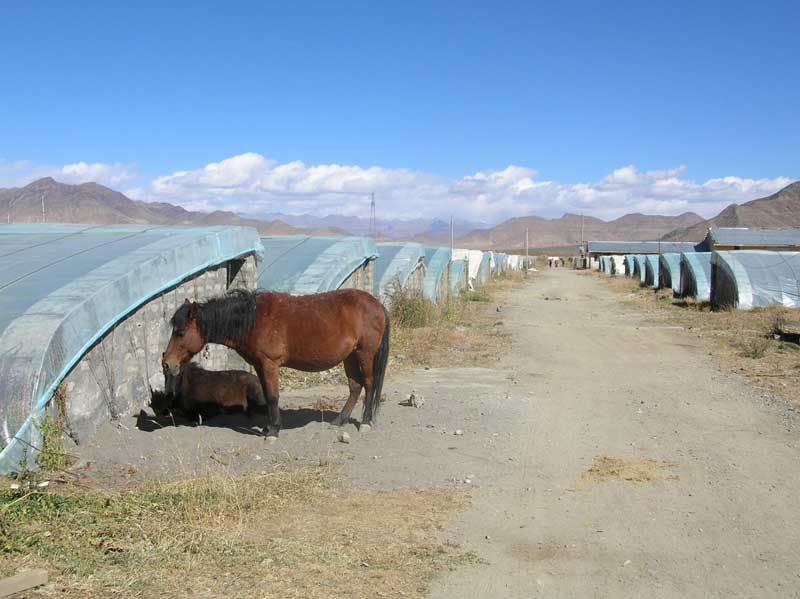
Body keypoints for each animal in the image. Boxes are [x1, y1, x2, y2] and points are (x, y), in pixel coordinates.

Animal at [160, 288, 390, 438]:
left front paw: (273, 431)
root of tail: (376, 304)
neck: (253, 320)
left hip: (365, 354)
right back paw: (340, 420)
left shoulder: (269, 364)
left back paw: (365, 422)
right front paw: (268, 426)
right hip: (349, 356)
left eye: (180, 333)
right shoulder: (260, 365)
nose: (167, 364)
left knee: (369, 385)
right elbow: (267, 394)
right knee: (355, 386)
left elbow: (272, 396)